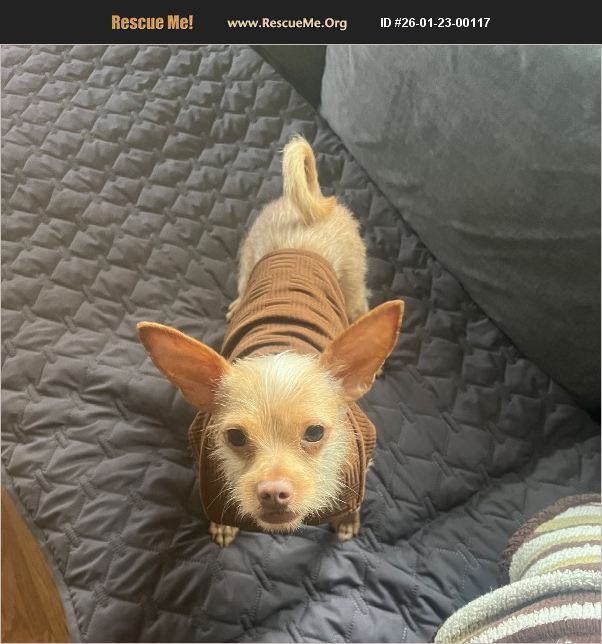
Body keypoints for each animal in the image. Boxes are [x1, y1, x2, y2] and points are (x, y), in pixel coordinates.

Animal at [138, 136, 404, 547]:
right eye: (235, 437)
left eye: (315, 433)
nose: (273, 491)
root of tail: (307, 208)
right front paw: (224, 525)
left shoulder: (359, 469)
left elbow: (350, 506)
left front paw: (347, 520)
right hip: (249, 259)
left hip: (355, 287)